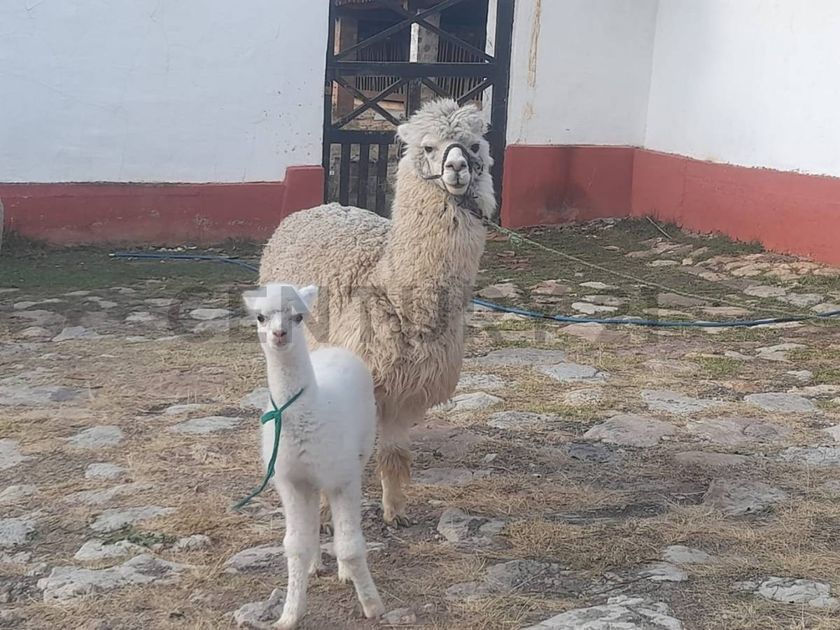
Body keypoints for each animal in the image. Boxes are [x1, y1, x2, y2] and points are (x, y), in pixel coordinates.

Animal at [242, 282, 384, 630]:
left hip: (360, 449)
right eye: (261, 316)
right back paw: (315, 565)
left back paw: (344, 573)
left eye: (298, 316)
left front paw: (372, 605)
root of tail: (335, 349)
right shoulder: (290, 481)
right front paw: (289, 614)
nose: (279, 334)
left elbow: (350, 546)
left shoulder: (344, 477)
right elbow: (294, 545)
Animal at [259, 99, 497, 527]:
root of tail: (314, 207)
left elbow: (395, 455)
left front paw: (395, 512)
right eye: (428, 147)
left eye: (473, 145)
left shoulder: (406, 389)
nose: (457, 168)